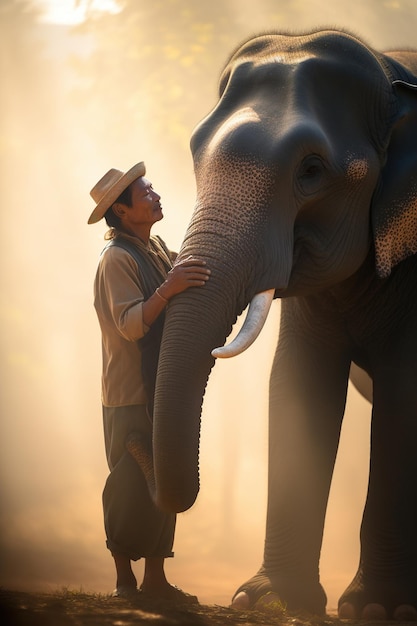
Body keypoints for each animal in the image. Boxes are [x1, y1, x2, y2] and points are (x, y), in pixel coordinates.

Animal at [147, 30, 417, 620]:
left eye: (311, 171)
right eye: (195, 151)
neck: (393, 78)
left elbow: (403, 397)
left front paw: (375, 610)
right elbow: (297, 383)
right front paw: (265, 600)